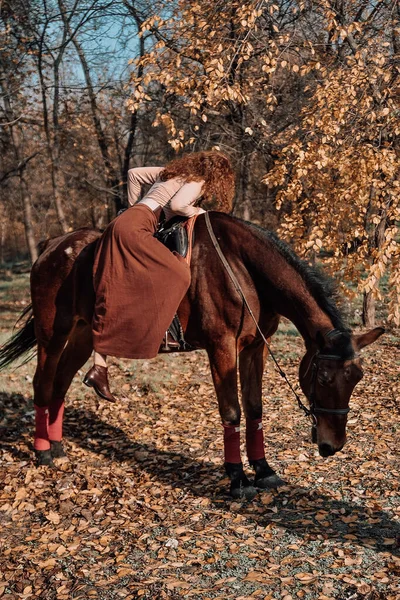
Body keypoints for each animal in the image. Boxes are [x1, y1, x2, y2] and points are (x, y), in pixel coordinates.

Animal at [0, 213, 384, 500]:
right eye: (324, 378)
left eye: (357, 379)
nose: (332, 445)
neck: (241, 268)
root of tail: (53, 245)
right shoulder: (222, 347)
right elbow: (232, 411)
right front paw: (237, 477)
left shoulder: (254, 347)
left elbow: (255, 409)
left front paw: (263, 469)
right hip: (53, 332)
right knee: (43, 384)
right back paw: (43, 451)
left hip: (81, 333)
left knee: (61, 384)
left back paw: (58, 446)